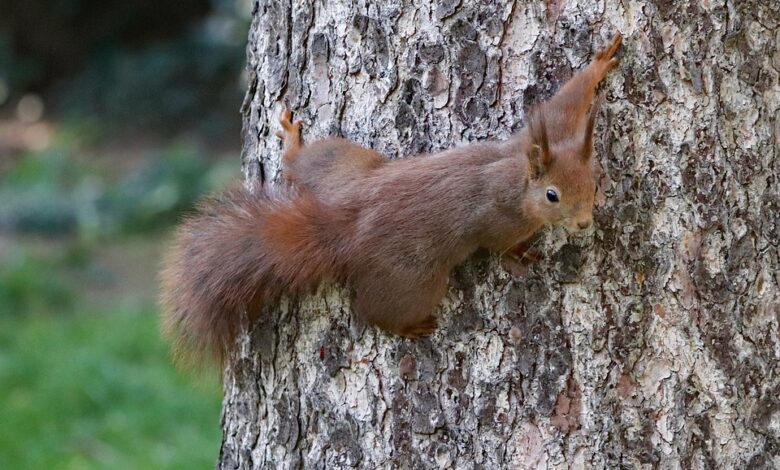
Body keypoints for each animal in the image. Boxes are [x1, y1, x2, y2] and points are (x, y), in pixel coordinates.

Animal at [163, 35, 620, 364]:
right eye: (552, 195)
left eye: (595, 181)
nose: (584, 223)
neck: (516, 175)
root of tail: (350, 227)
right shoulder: (499, 216)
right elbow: (499, 243)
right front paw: (522, 252)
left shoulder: (544, 135)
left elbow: (565, 105)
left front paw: (599, 63)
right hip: (414, 280)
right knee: (371, 311)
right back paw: (404, 327)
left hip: (342, 169)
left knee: (300, 164)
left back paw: (292, 142)